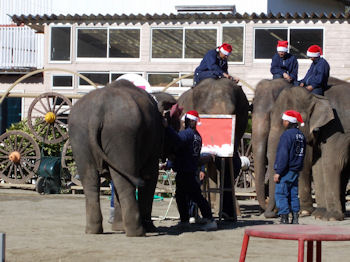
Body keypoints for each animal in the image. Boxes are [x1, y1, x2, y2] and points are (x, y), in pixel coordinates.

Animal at [69, 79, 167, 235]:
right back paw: (137, 232)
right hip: (121, 135)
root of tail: (97, 113)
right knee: (125, 181)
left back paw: (93, 230)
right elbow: (150, 175)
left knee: (90, 181)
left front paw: (119, 228)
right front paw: (151, 228)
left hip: (79, 136)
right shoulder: (154, 142)